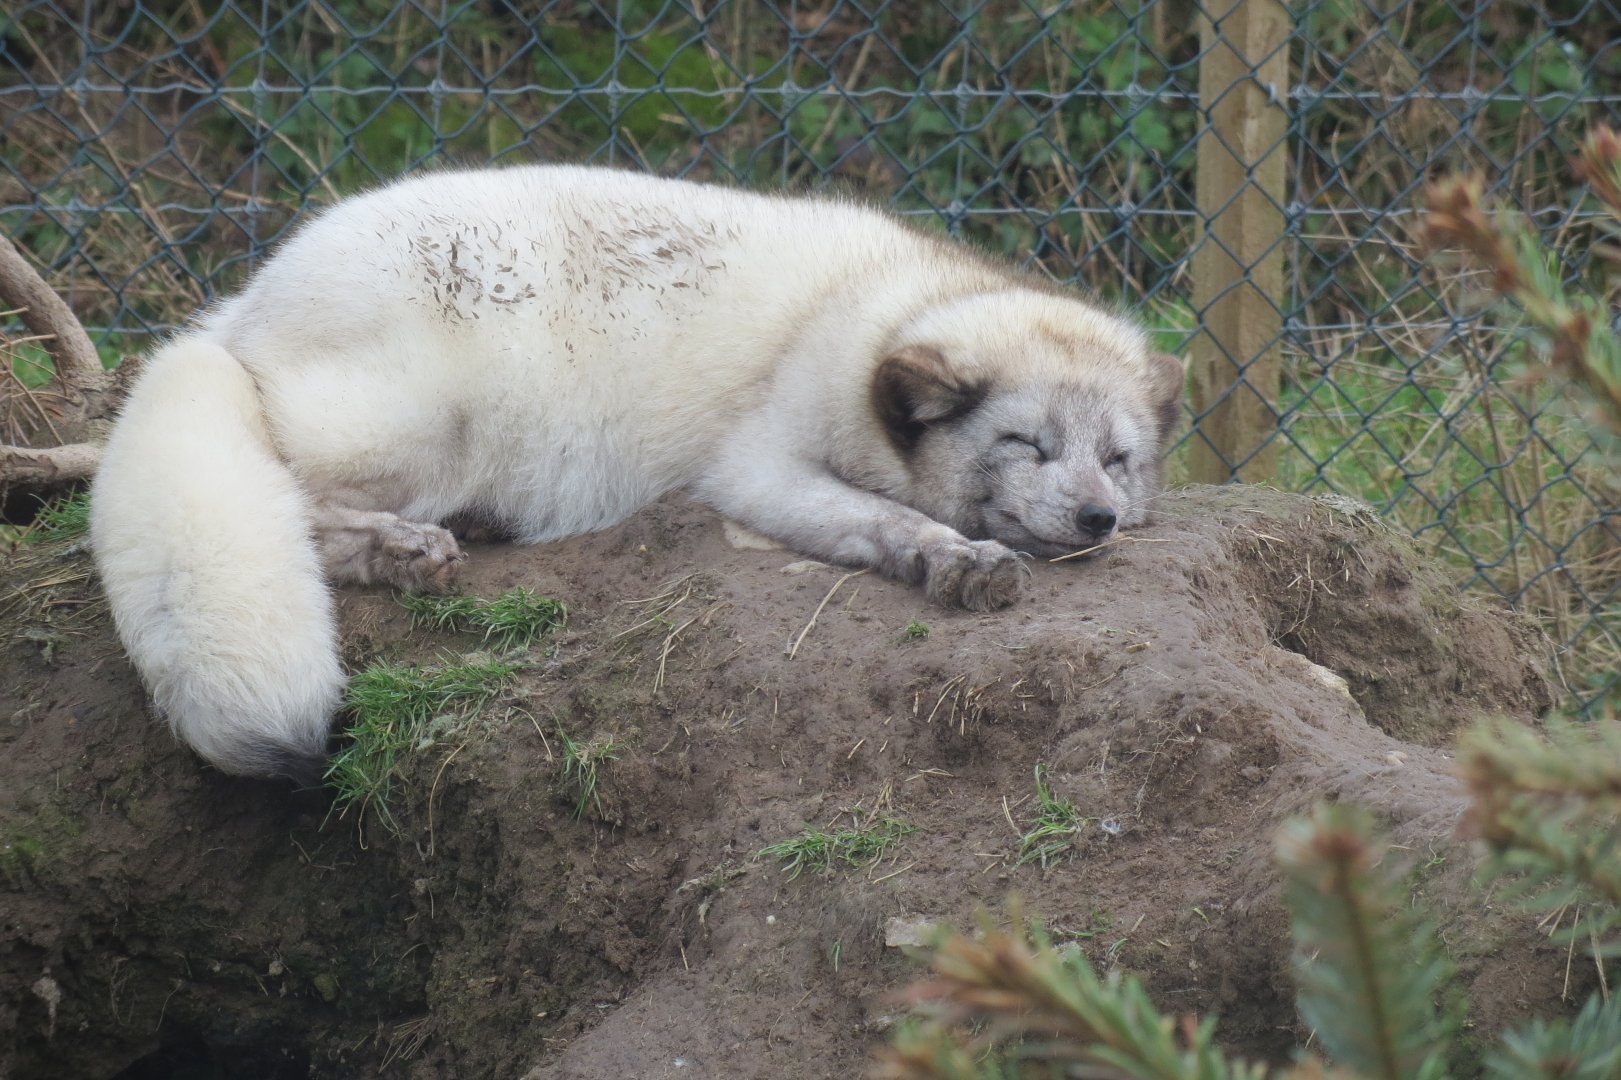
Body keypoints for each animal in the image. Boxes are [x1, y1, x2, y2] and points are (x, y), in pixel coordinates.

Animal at [89, 166, 1185, 782]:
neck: (873, 309)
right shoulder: (752, 468)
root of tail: (239, 312)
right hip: (422, 425)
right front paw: (955, 559)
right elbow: (887, 520)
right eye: (1028, 445)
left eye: (1117, 461)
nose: (1097, 518)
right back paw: (400, 548)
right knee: (295, 494)